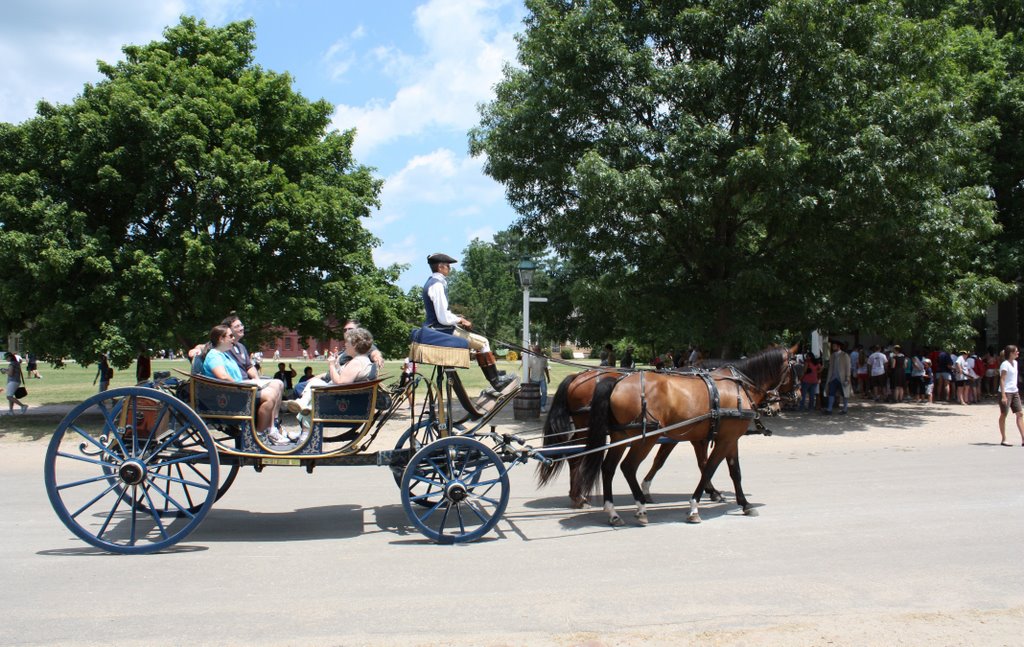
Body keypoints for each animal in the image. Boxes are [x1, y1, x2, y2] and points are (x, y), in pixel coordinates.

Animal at [532, 366, 724, 513]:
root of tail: (577, 377)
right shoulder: (689, 437)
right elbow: (699, 463)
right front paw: (713, 491)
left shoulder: (683, 436)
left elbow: (668, 461)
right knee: (576, 458)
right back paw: (578, 497)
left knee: (575, 457)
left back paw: (577, 496)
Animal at [581, 346, 794, 524]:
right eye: (797, 368)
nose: (794, 397)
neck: (738, 386)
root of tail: (617, 382)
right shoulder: (721, 440)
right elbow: (708, 468)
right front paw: (694, 507)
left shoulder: (727, 438)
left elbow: (734, 472)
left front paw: (744, 504)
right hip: (645, 439)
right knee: (628, 467)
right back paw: (640, 508)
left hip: (620, 437)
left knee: (608, 468)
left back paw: (613, 512)